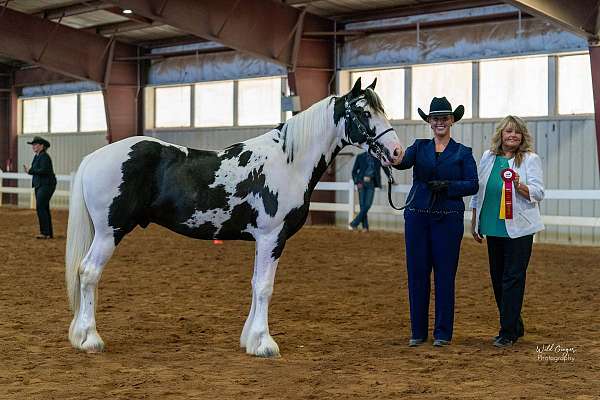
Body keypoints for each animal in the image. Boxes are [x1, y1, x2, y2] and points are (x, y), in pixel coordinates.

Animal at [64, 77, 404, 356]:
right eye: (363, 113)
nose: (397, 152)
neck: (288, 162)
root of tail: (95, 157)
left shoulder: (263, 239)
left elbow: (255, 283)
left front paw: (250, 340)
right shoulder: (272, 236)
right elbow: (265, 286)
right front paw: (265, 344)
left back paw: (80, 336)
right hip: (110, 232)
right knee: (89, 272)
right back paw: (90, 339)